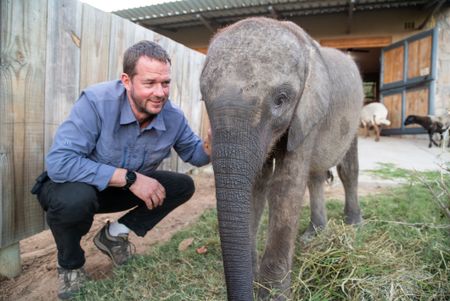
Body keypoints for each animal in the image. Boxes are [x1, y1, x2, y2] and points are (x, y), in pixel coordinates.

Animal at [202, 17, 364, 300]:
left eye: (281, 99)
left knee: (348, 168)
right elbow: (257, 185)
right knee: (315, 177)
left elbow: (285, 188)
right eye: (203, 97)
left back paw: (353, 223)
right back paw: (313, 235)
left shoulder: (308, 111)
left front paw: (272, 294)